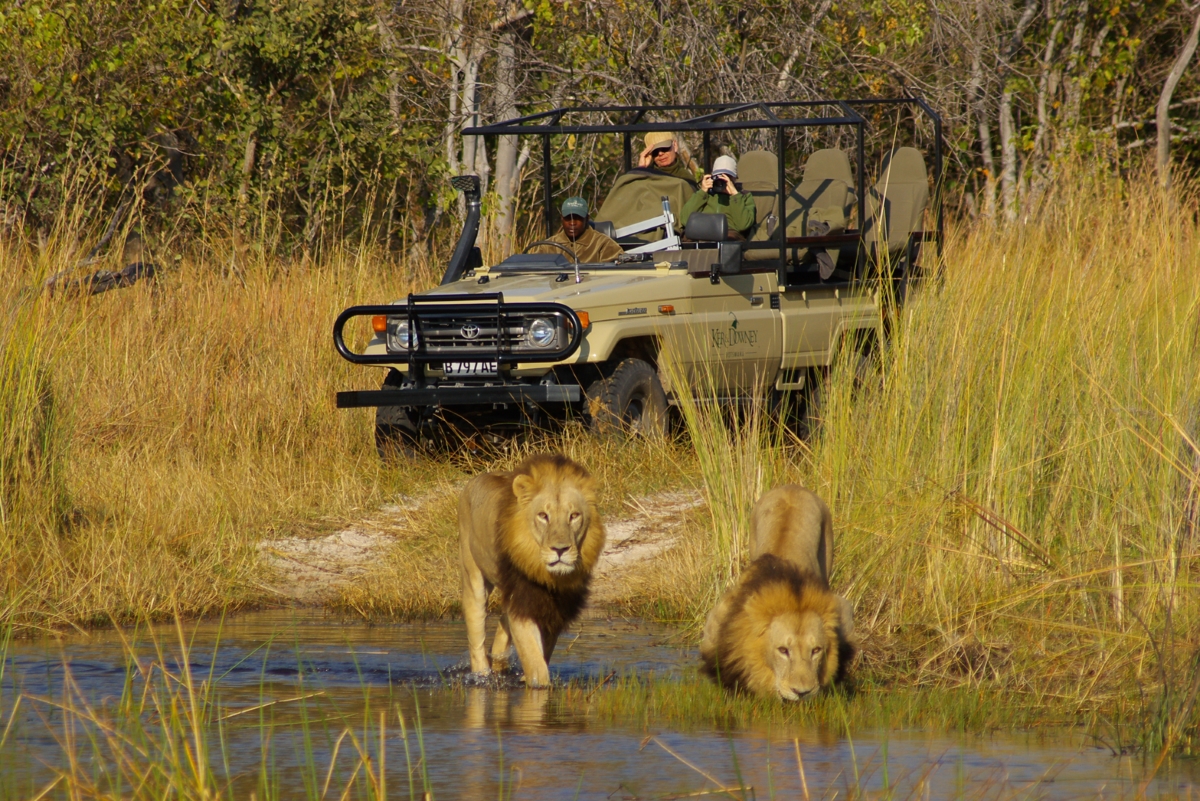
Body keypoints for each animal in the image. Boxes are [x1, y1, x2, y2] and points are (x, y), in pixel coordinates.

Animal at [458, 453, 609, 685]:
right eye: (543, 516)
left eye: (574, 515)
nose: (560, 549)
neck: (548, 576)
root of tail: (473, 481)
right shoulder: (523, 601)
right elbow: (535, 661)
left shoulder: (554, 608)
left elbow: (542, 654)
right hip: (473, 579)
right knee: (477, 641)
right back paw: (482, 675)